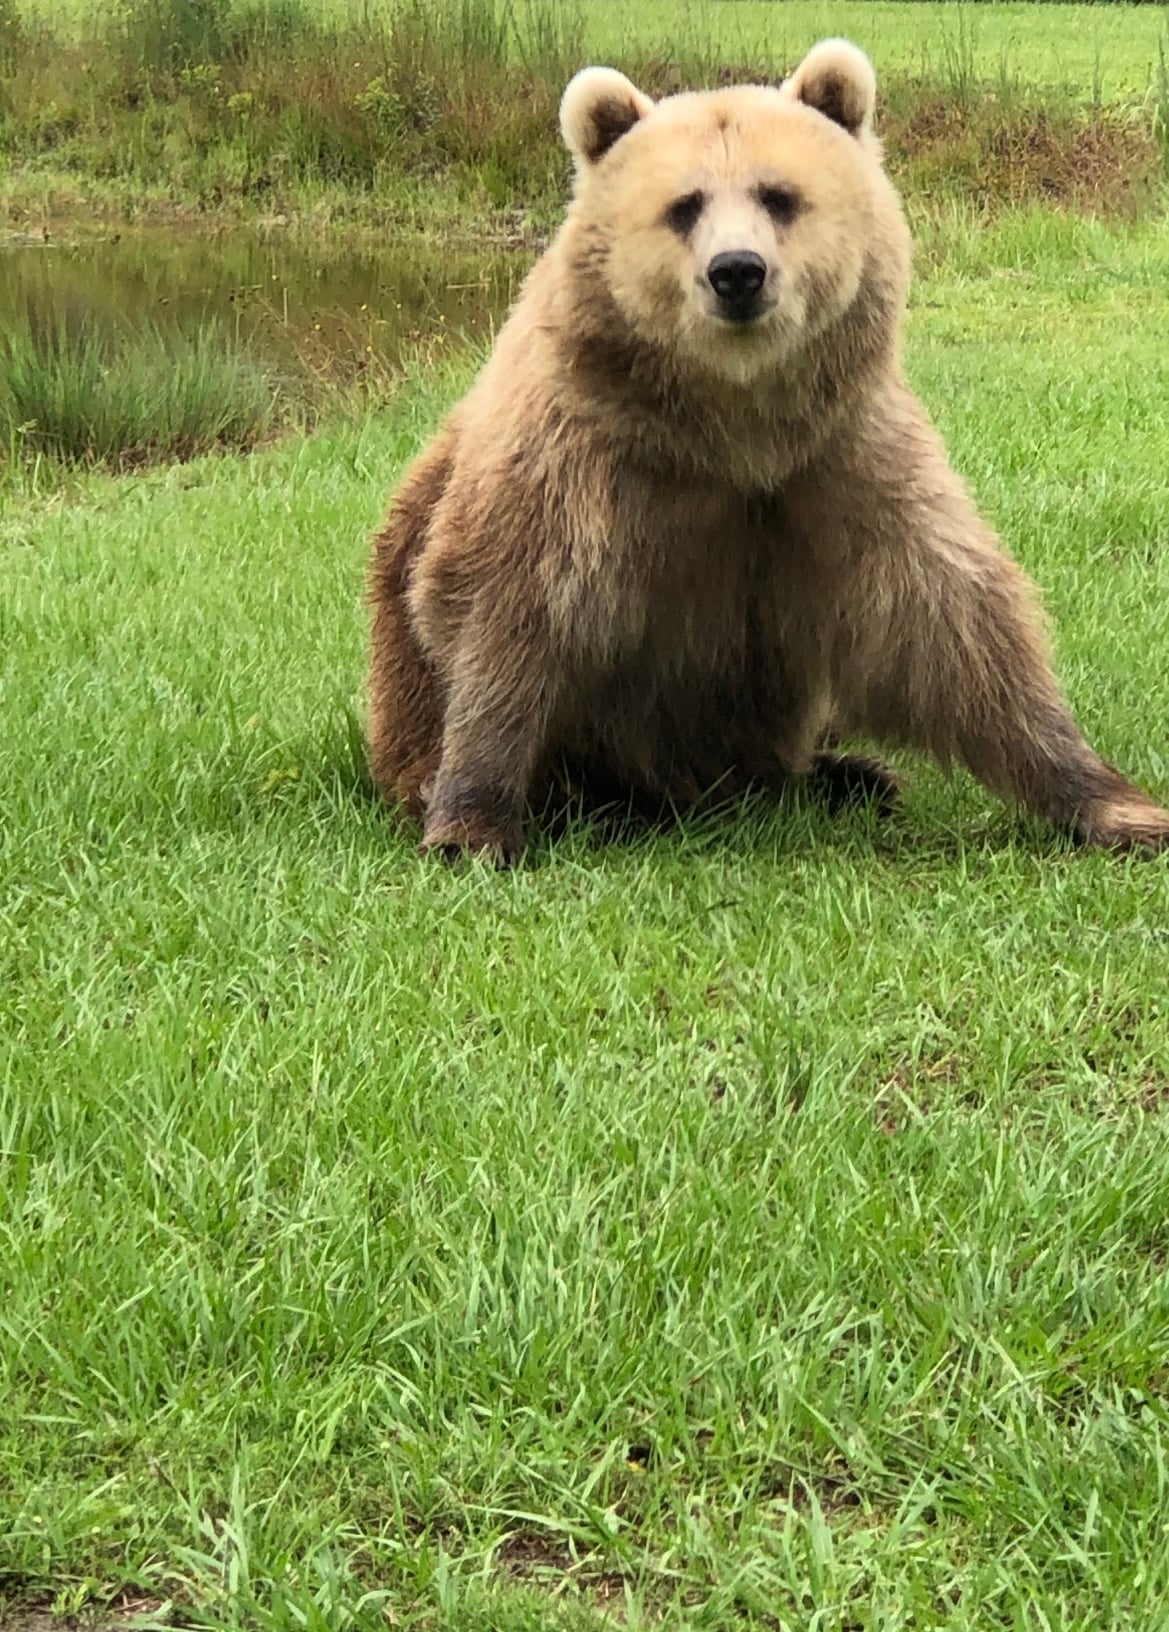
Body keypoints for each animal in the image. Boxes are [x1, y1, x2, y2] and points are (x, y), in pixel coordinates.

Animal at [366, 38, 1169, 864]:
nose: (737, 272)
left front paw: (1114, 806)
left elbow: (954, 625)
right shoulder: (579, 458)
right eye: (684, 205)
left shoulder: (836, 459)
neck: (730, 426)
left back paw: (849, 774)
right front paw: (472, 825)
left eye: (778, 196)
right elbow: (508, 607)